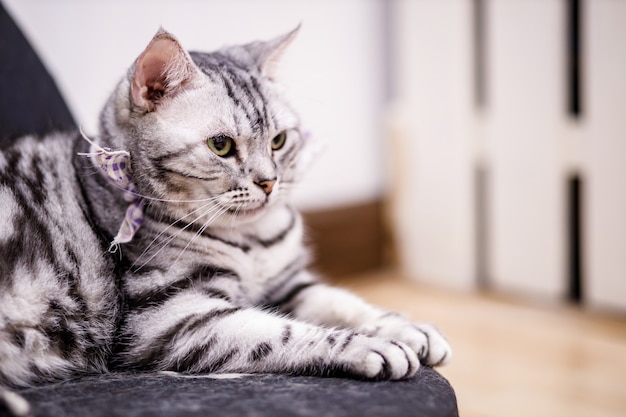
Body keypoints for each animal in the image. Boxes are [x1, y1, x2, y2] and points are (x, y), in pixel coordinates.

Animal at [0, 26, 448, 412]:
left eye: (279, 141)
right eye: (221, 145)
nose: (269, 182)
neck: (251, 238)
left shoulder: (288, 285)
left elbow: (343, 301)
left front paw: (410, 328)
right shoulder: (170, 317)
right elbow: (285, 332)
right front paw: (370, 346)